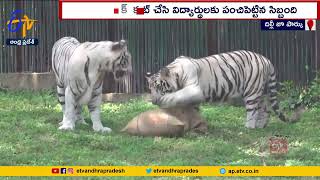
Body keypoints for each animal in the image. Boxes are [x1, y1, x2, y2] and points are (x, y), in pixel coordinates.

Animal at [146, 49, 304, 128]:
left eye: (158, 86)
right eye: (149, 89)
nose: (153, 100)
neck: (176, 72)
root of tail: (266, 59)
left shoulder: (194, 88)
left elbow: (177, 95)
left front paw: (164, 100)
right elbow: (191, 108)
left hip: (252, 91)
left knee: (252, 110)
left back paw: (249, 126)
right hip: (260, 90)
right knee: (265, 108)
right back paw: (261, 125)